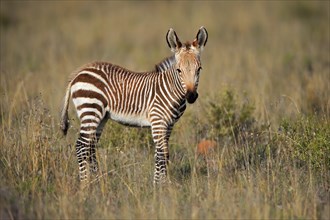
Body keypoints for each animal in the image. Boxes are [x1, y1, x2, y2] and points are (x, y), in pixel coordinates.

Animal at [60, 27, 208, 184]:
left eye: (199, 69)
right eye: (179, 70)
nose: (191, 96)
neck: (171, 89)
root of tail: (79, 73)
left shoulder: (169, 125)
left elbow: (161, 154)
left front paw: (160, 184)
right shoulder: (158, 121)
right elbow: (162, 155)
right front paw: (159, 186)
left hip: (100, 117)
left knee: (90, 147)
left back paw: (97, 181)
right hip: (90, 109)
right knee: (81, 146)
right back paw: (86, 183)